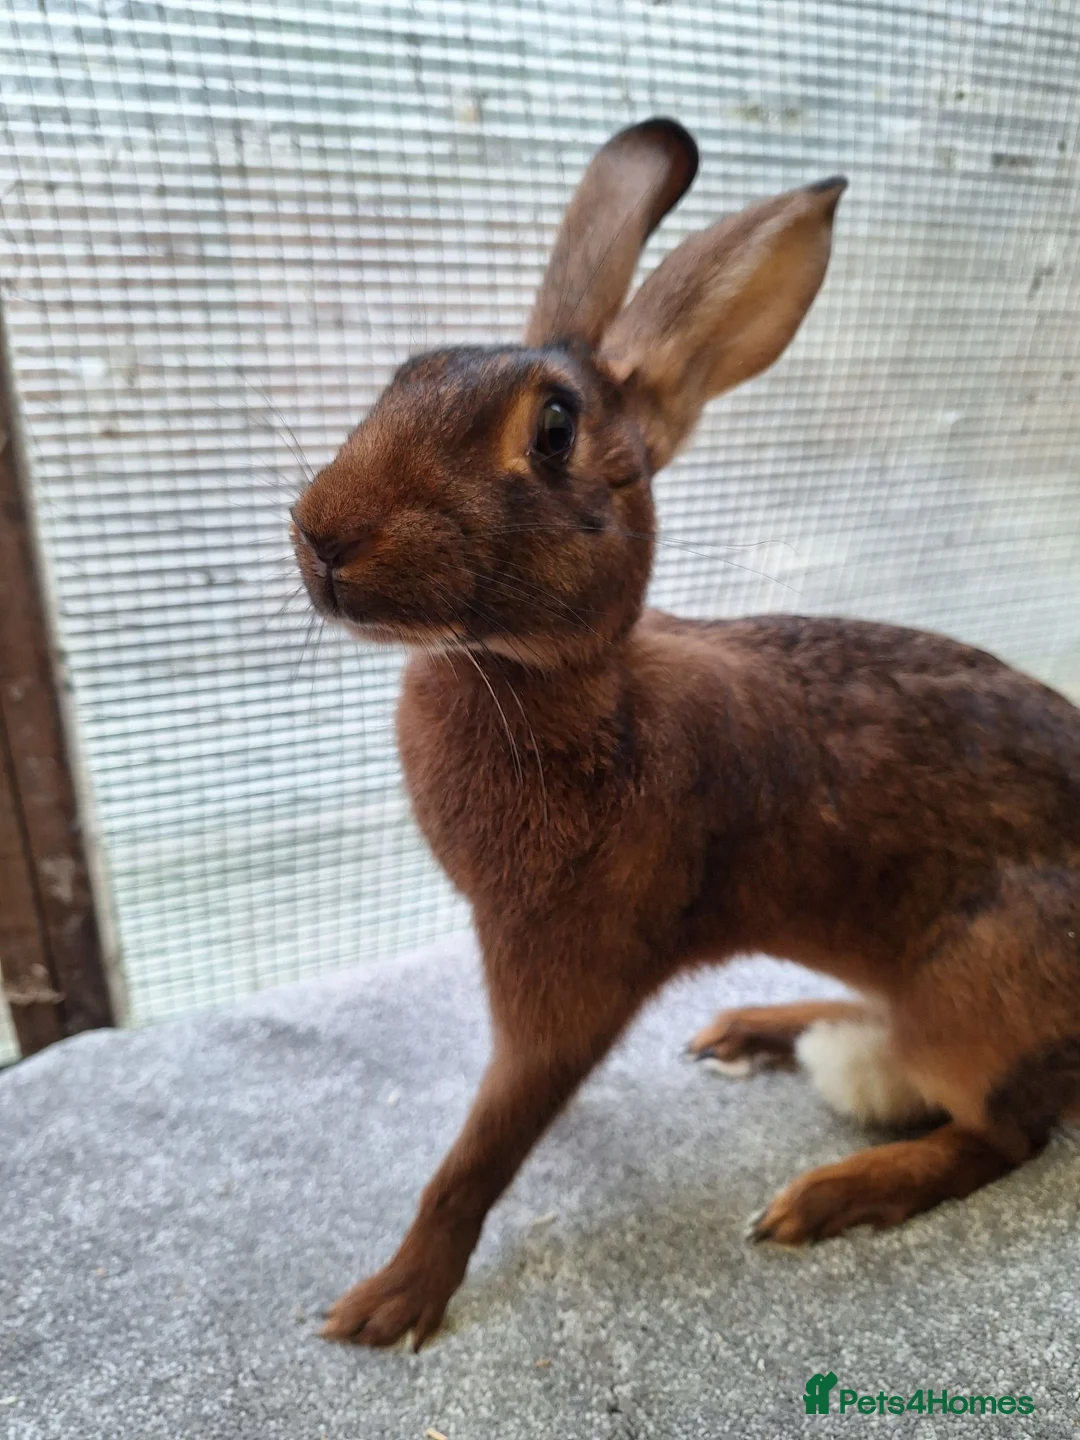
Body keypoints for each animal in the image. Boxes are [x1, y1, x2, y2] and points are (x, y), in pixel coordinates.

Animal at [291, 117, 1080, 1350]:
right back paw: (755, 1028)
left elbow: (480, 1152)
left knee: (1003, 1134)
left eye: (554, 428)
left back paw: (831, 1197)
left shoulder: (570, 966)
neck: (566, 691)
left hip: (984, 993)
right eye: (401, 376)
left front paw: (386, 1304)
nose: (322, 535)